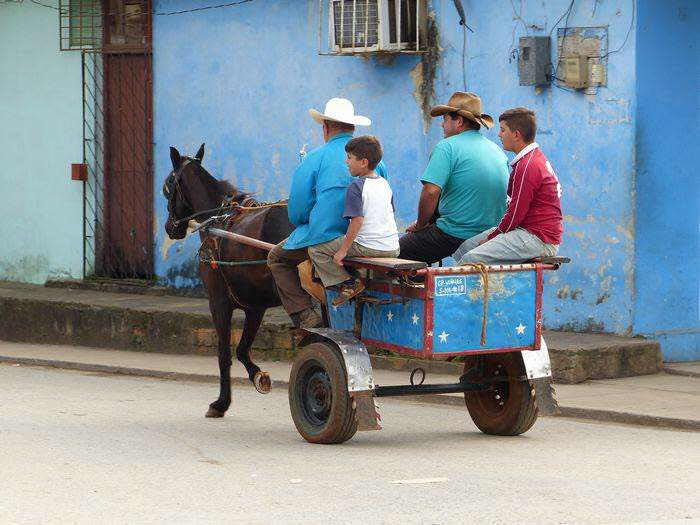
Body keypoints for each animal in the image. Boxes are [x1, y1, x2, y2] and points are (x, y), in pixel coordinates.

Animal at [162, 143, 292, 418]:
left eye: (168, 185)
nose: (170, 227)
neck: (219, 218)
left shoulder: (218, 302)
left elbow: (224, 353)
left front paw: (221, 402)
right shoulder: (255, 306)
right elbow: (242, 349)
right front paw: (259, 376)